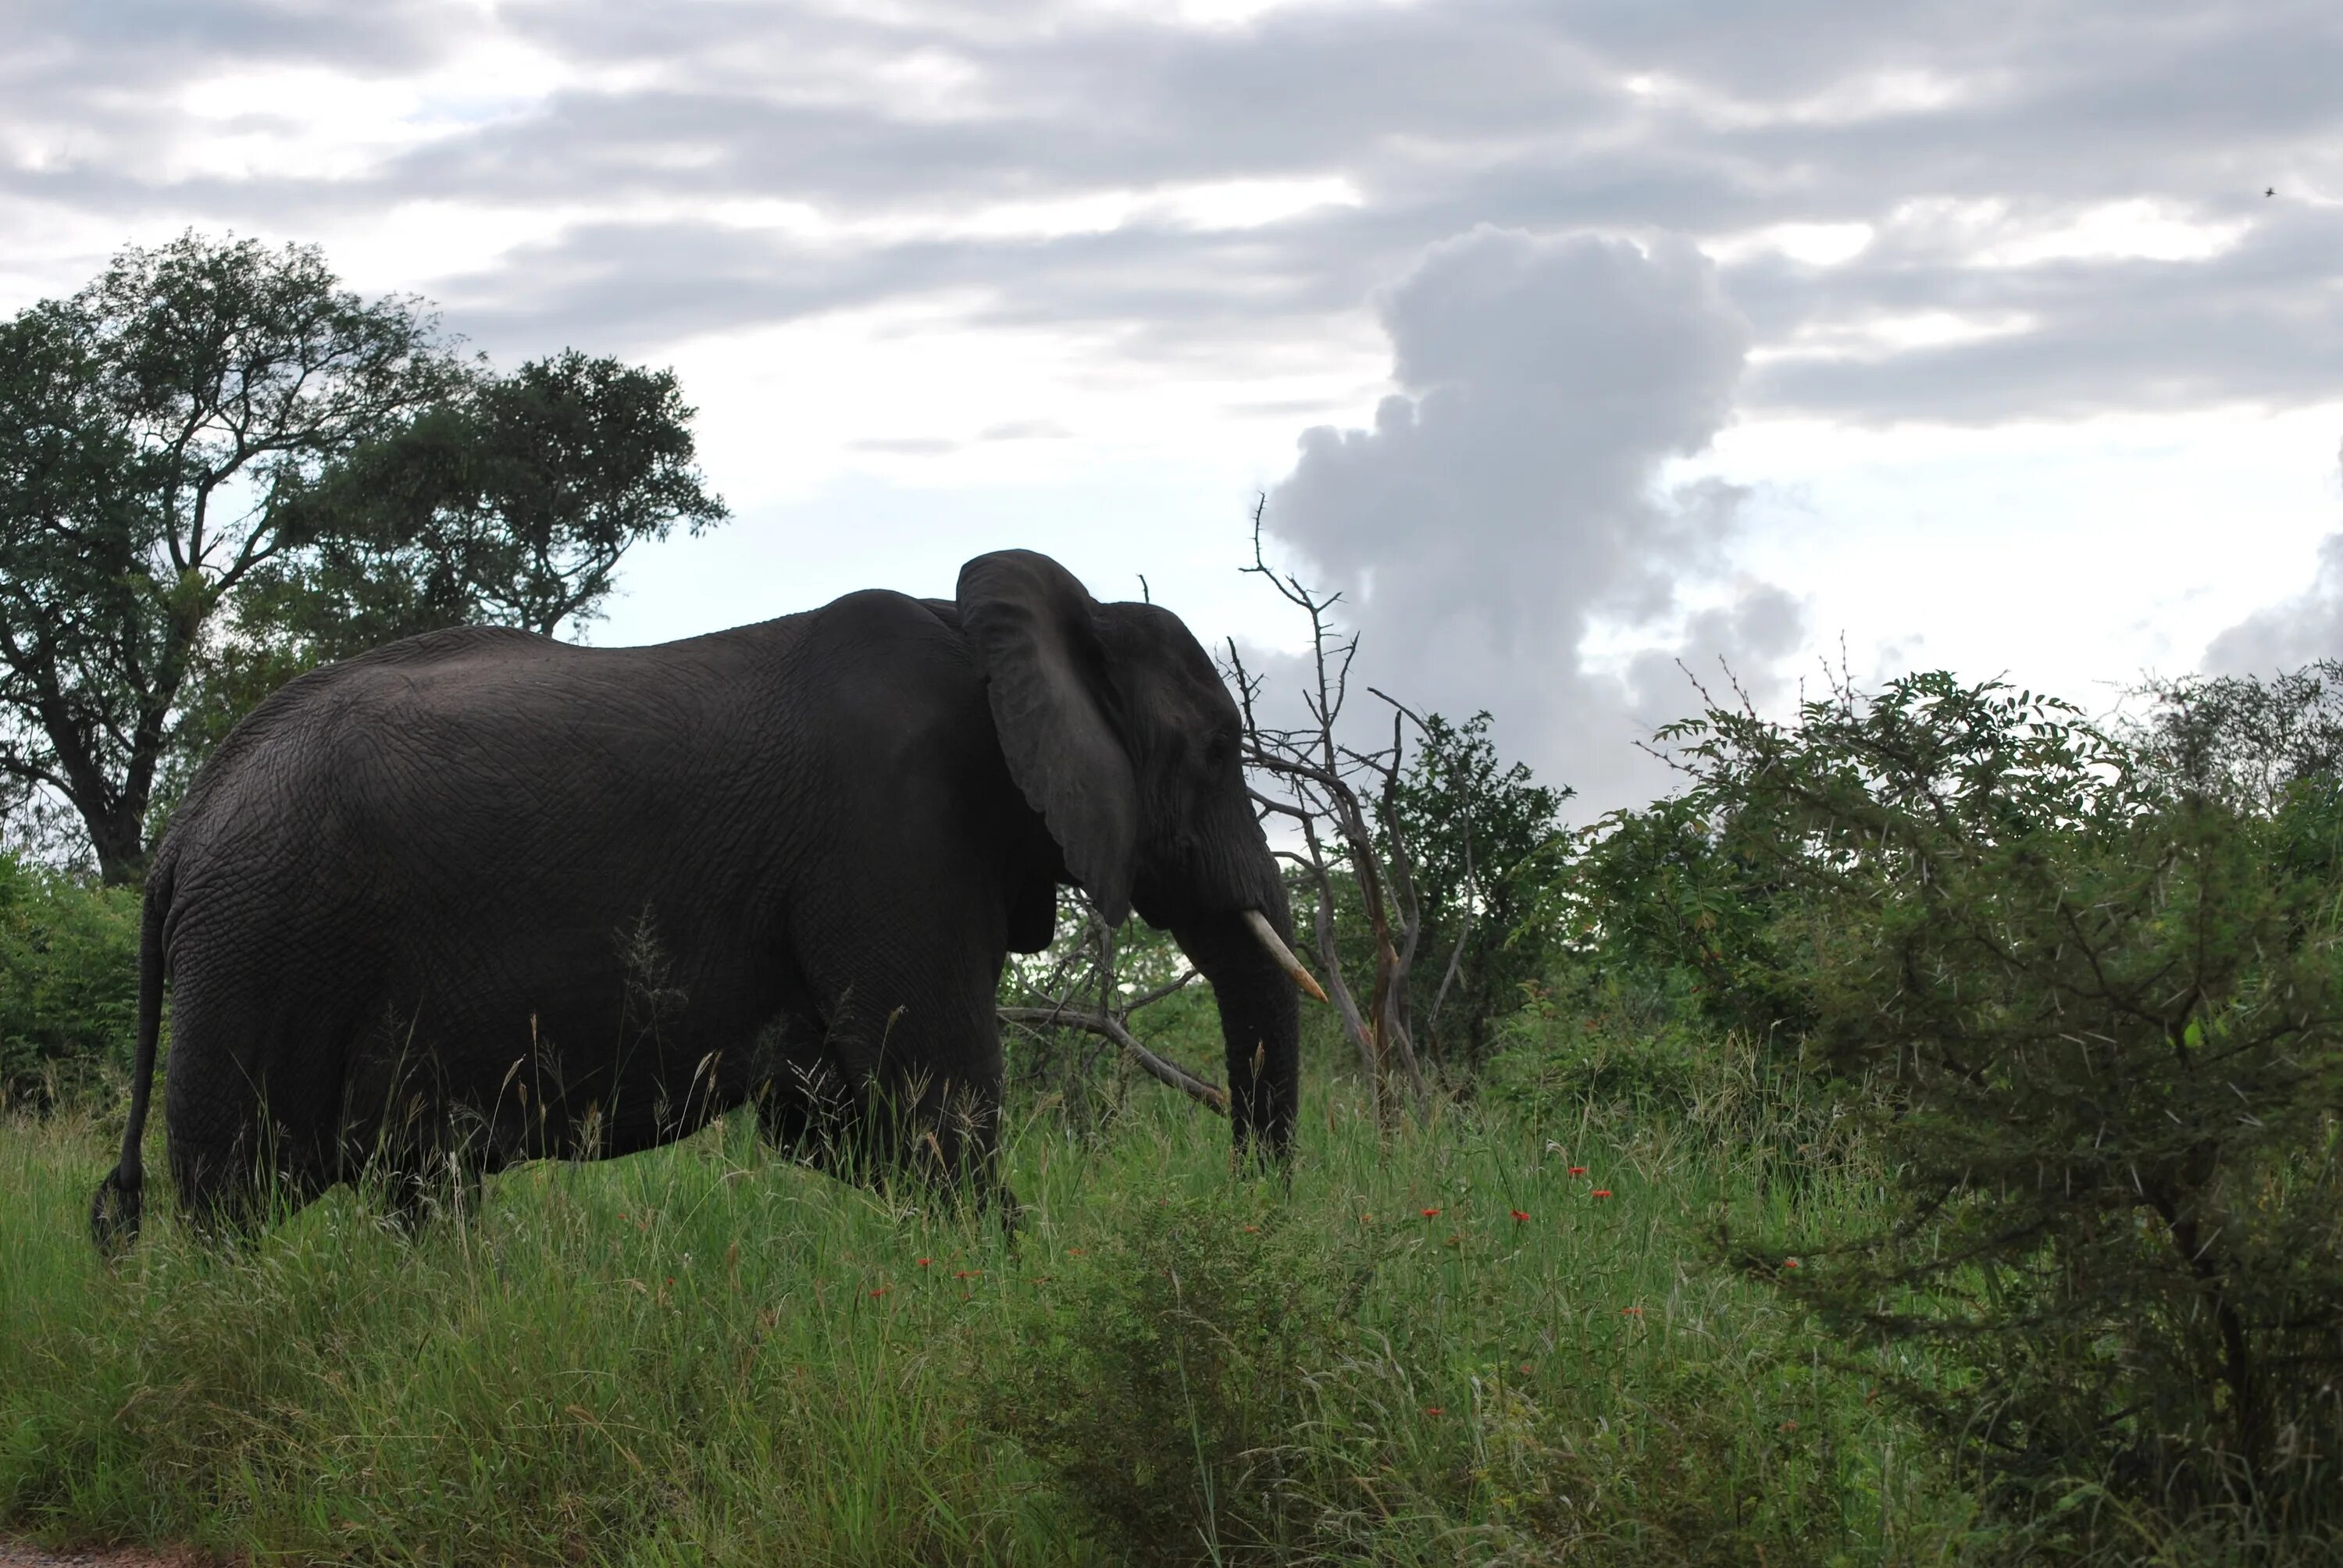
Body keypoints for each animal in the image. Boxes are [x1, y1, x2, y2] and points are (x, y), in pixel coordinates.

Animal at [91, 543, 1321, 1237]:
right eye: (1218, 751)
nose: (1248, 1215)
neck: (999, 630)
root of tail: (184, 827)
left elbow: (836, 1121)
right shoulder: (893, 831)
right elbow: (939, 1108)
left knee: (419, 1187)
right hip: (264, 946)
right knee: (236, 1197)